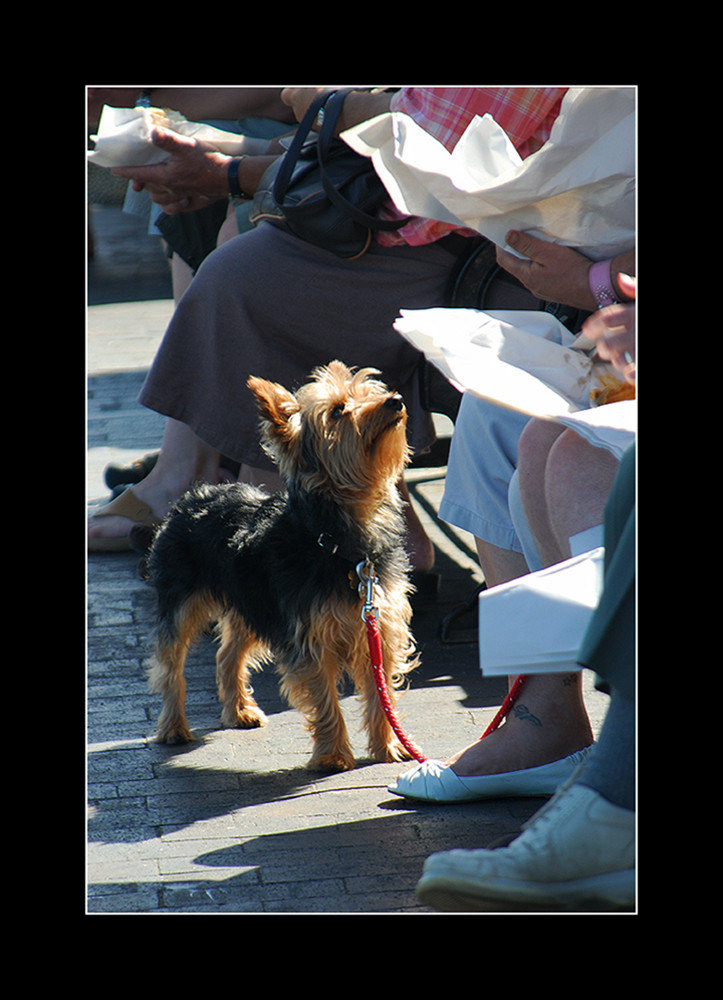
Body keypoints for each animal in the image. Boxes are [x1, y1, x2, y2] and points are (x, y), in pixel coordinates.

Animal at [145, 362, 422, 772]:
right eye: (338, 411)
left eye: (370, 392)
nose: (396, 400)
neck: (345, 544)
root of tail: (198, 494)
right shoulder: (309, 637)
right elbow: (325, 698)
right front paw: (333, 755)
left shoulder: (380, 628)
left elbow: (380, 691)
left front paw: (388, 746)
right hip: (182, 601)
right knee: (170, 666)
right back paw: (173, 727)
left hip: (252, 602)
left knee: (227, 655)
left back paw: (238, 711)